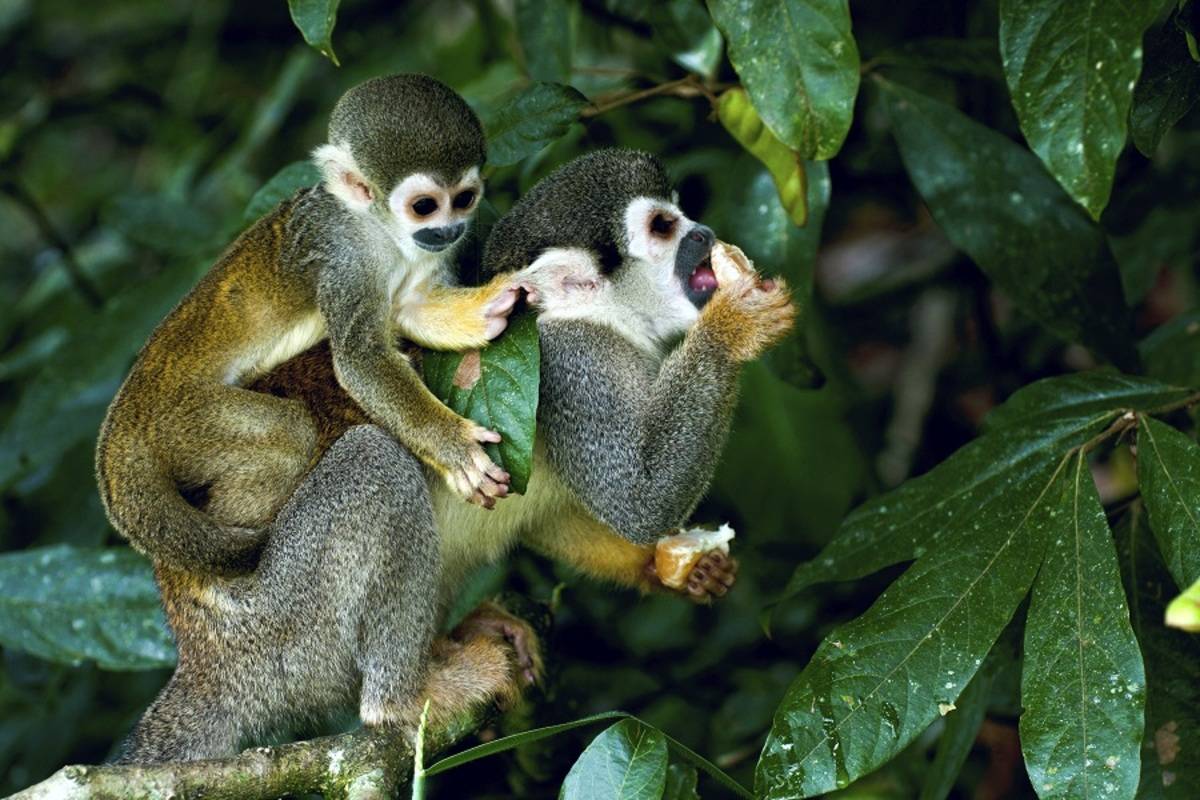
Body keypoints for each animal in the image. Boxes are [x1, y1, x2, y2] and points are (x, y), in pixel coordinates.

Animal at [94, 73, 520, 575]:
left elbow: (408, 307)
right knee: (292, 433)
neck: (378, 229)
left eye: (464, 200)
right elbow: (361, 361)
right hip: (180, 423)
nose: (449, 230)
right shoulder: (343, 258)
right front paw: (454, 448)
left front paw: (488, 307)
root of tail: (124, 420)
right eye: (424, 206)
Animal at [117, 148, 792, 762]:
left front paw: (670, 565)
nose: (704, 233)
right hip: (283, 628)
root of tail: (204, 658)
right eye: (662, 226)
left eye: (679, 215)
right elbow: (636, 497)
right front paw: (735, 323)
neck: (603, 317)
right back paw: (403, 698)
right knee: (374, 463)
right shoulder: (573, 365)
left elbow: (556, 514)